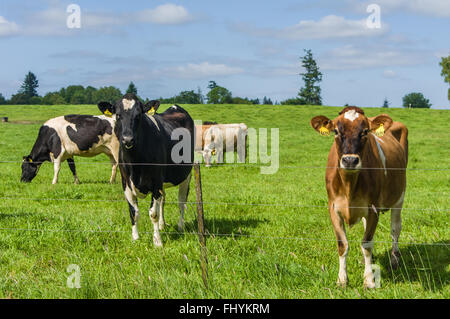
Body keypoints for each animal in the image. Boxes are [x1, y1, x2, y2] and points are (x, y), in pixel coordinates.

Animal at [98, 94, 193, 246]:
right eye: (118, 115)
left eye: (138, 115)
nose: (127, 139)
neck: (135, 162)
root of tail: (175, 107)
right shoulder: (126, 183)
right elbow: (134, 212)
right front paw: (135, 238)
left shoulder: (156, 183)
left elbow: (153, 213)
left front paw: (157, 241)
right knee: (163, 200)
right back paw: (162, 225)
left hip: (186, 174)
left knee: (181, 201)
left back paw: (180, 227)